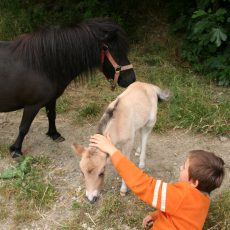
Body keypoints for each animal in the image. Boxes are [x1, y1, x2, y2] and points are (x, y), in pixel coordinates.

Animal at [0, 17, 136, 158]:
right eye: (115, 50)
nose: (131, 79)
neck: (41, 65)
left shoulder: (51, 99)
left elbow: (52, 115)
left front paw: (54, 134)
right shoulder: (31, 106)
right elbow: (24, 127)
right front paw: (16, 149)